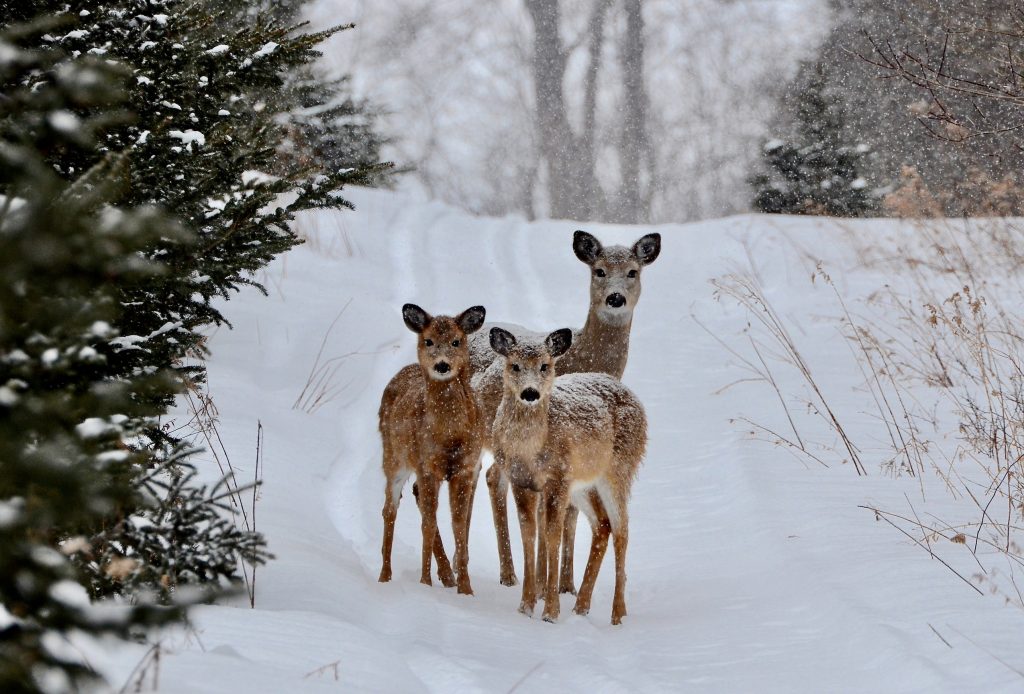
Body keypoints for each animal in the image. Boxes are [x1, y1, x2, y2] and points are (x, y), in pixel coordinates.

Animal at [377, 303, 486, 595]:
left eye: (456, 341)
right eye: (428, 341)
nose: (442, 365)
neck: (450, 436)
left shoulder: (465, 468)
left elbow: (459, 524)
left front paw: (466, 589)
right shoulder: (427, 465)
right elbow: (428, 524)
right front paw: (425, 583)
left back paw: (447, 575)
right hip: (394, 459)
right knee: (390, 510)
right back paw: (385, 576)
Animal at [470, 230, 660, 592]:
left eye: (633, 272)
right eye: (599, 270)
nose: (615, 299)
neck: (585, 357)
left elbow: (569, 513)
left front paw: (566, 584)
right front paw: (548, 582)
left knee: (486, 477)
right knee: (486, 478)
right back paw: (507, 573)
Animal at [488, 326, 647, 625]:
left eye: (545, 366)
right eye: (515, 365)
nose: (530, 393)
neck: (529, 449)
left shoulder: (557, 479)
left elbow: (552, 534)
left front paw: (550, 611)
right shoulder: (521, 480)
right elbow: (529, 533)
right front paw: (526, 606)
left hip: (618, 470)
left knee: (622, 529)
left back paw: (618, 614)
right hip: (583, 483)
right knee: (602, 524)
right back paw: (581, 606)